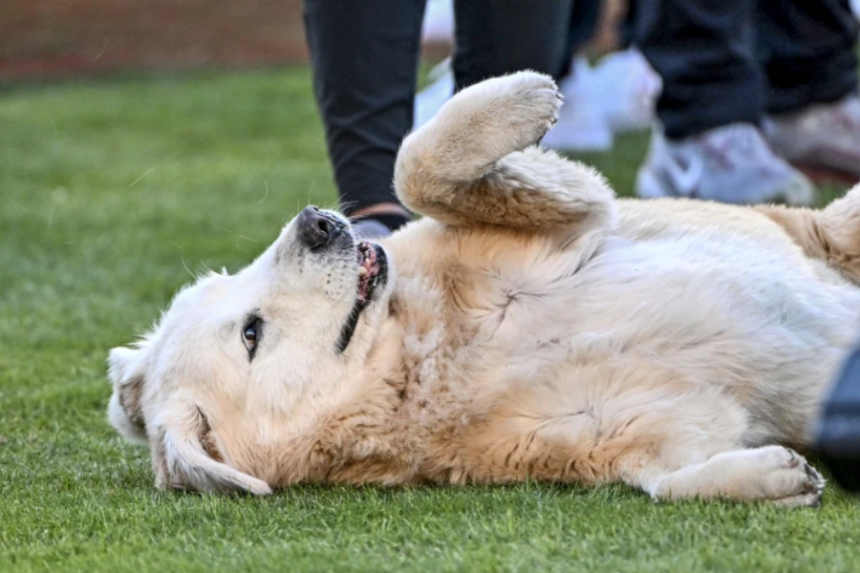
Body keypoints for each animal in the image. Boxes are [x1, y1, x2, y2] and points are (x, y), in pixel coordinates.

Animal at [107, 71, 860, 504]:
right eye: (251, 334)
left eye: (239, 282)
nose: (317, 223)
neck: (427, 347)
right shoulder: (637, 427)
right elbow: (666, 482)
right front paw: (771, 477)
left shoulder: (573, 216)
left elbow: (418, 164)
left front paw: (521, 97)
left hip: (829, 227)